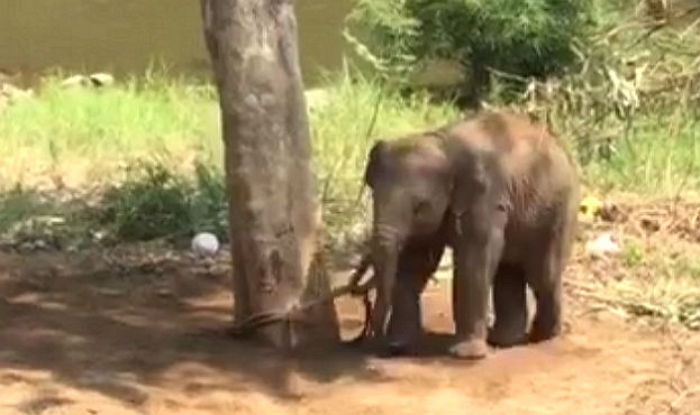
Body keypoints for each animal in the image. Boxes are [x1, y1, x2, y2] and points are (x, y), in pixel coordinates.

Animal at [364, 110, 576, 360]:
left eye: (420, 206)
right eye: (373, 196)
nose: (376, 341)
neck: (442, 144)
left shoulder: (486, 198)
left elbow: (473, 260)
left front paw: (465, 355)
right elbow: (416, 263)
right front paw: (398, 345)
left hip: (558, 212)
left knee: (542, 274)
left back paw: (542, 336)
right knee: (509, 272)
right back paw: (503, 340)